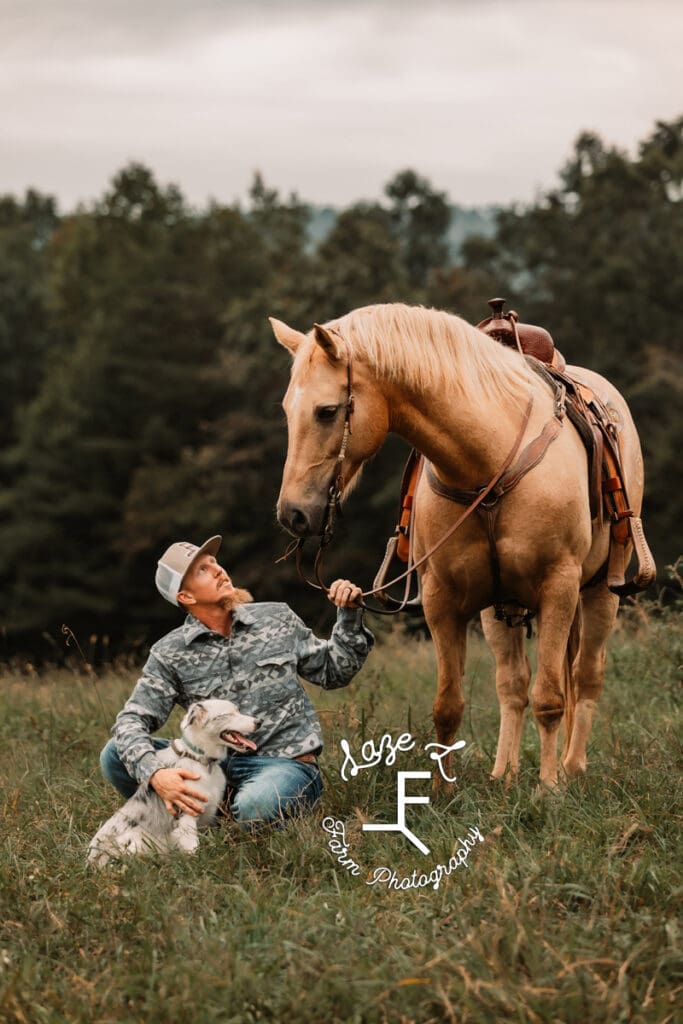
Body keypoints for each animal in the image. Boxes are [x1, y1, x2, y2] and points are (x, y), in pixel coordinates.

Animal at [270, 299, 647, 786]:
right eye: (288, 410)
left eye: (327, 411)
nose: (292, 513)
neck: (487, 460)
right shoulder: (442, 600)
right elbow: (449, 705)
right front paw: (442, 789)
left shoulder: (558, 587)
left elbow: (550, 698)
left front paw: (548, 790)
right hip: (498, 610)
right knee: (511, 684)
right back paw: (504, 775)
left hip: (600, 591)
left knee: (584, 676)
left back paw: (570, 768)